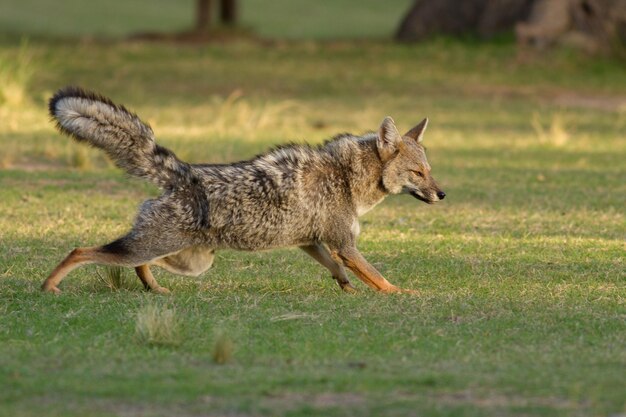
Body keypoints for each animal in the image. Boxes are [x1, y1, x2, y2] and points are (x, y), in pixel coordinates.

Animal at [41, 86, 444, 294]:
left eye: (430, 171)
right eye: (418, 173)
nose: (442, 195)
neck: (347, 177)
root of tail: (181, 171)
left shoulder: (311, 242)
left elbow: (338, 269)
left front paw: (346, 288)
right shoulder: (344, 244)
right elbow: (379, 277)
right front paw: (401, 294)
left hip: (187, 261)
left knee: (140, 266)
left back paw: (155, 289)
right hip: (151, 249)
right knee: (81, 251)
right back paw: (49, 286)